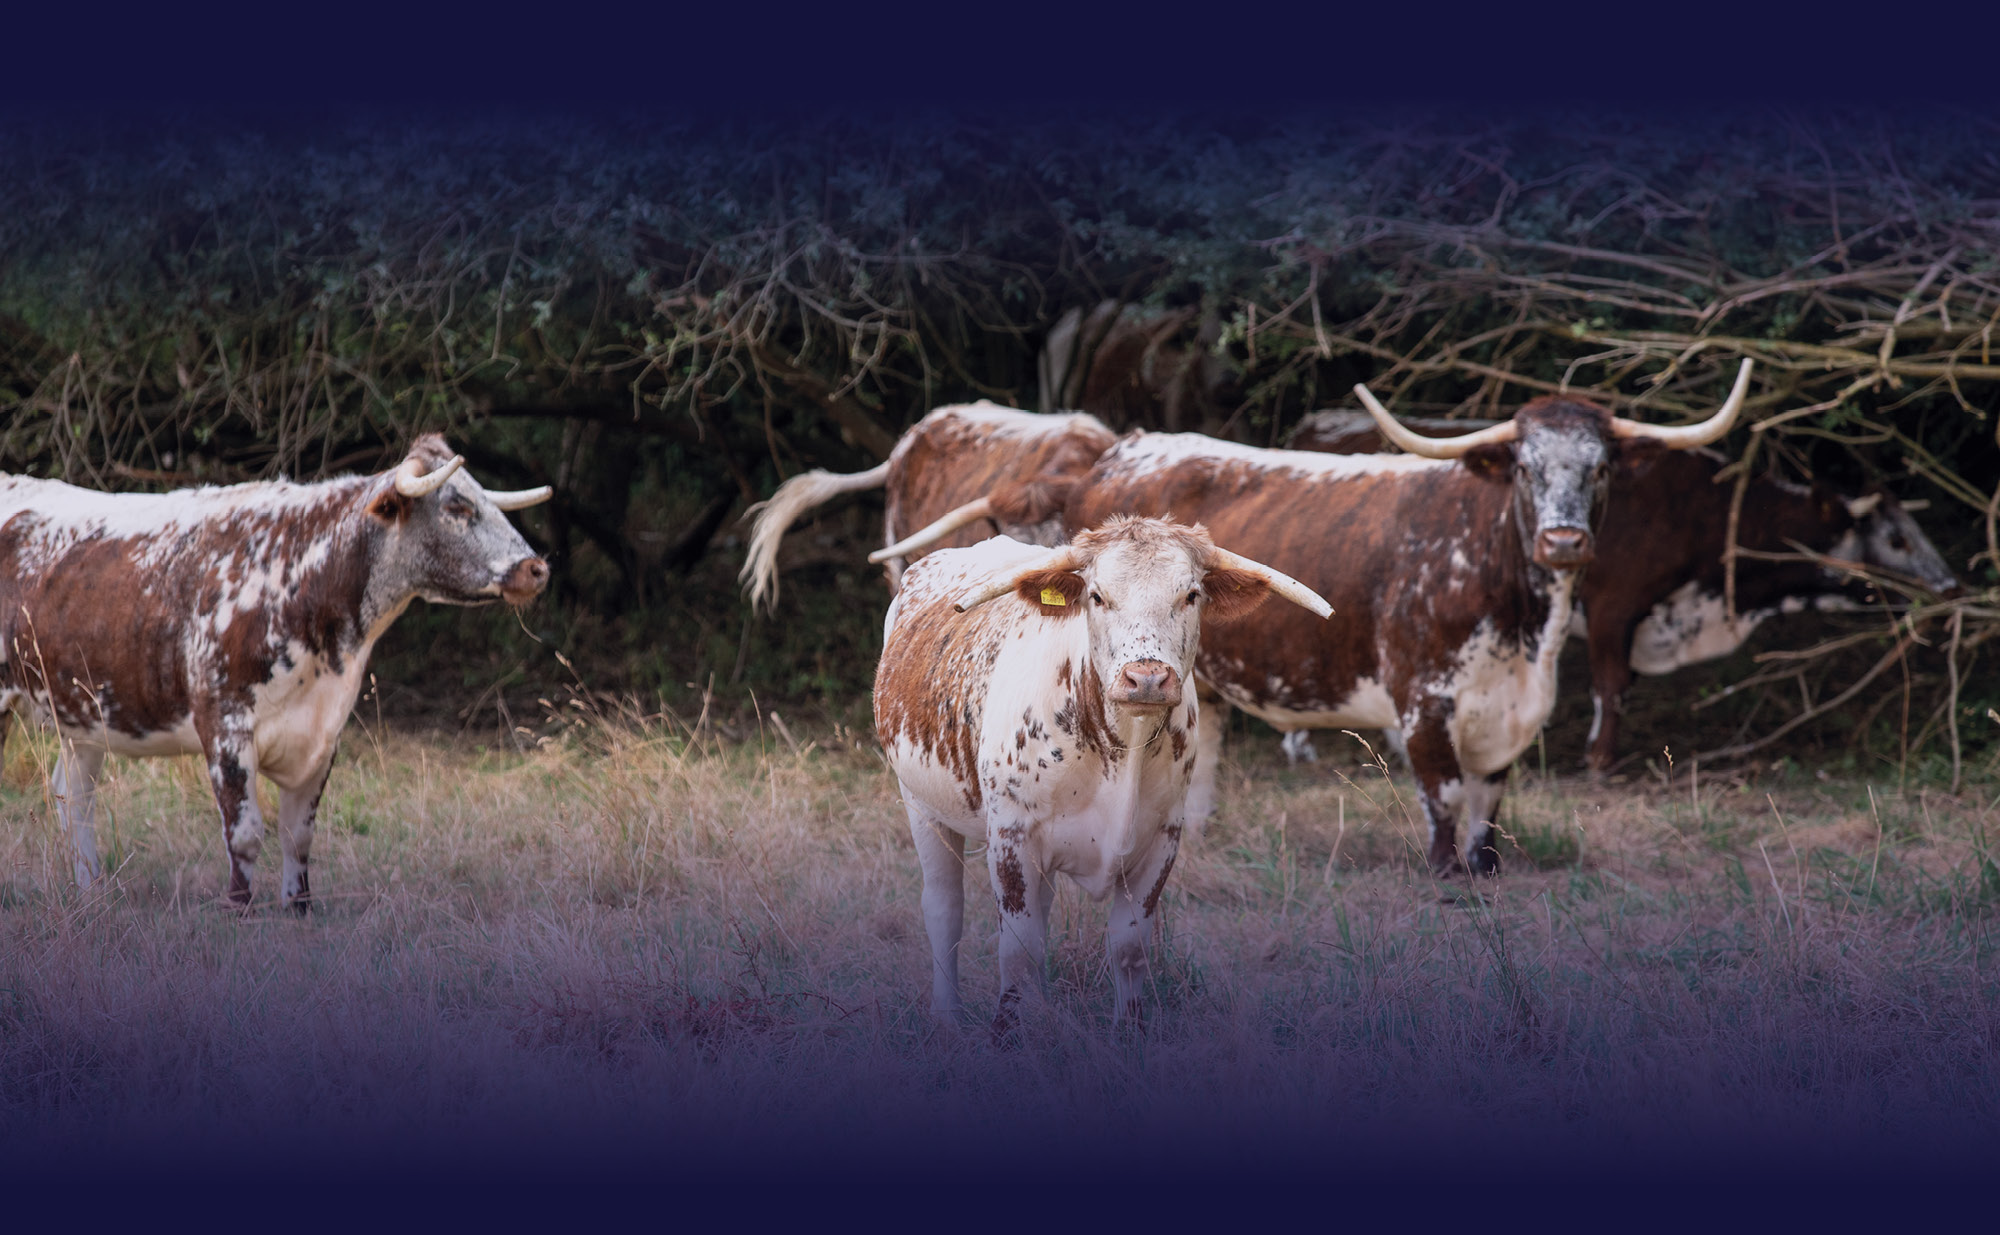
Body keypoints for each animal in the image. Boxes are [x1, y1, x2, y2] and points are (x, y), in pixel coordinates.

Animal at [0, 435, 552, 909]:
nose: (536, 568)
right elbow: (245, 833)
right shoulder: (225, 726)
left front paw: (297, 906)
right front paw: (239, 908)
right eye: (457, 508)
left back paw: (92, 892)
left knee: (74, 796)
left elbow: (298, 834)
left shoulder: (322, 736)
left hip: (83, 714)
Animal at [875, 516, 1330, 1035]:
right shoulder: (1012, 838)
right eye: (1096, 595)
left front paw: (1129, 1032)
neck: (1121, 746)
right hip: (921, 805)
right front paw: (1007, 1035)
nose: (1147, 677)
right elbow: (1017, 950)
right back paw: (947, 1018)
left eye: (1191, 594)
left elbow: (1128, 949)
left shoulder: (1161, 841)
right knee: (944, 908)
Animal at [1286, 410, 1963, 769]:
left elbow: (1625, 686)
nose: (1953, 585)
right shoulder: (1614, 605)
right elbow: (1610, 685)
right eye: (1897, 539)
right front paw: (1600, 761)